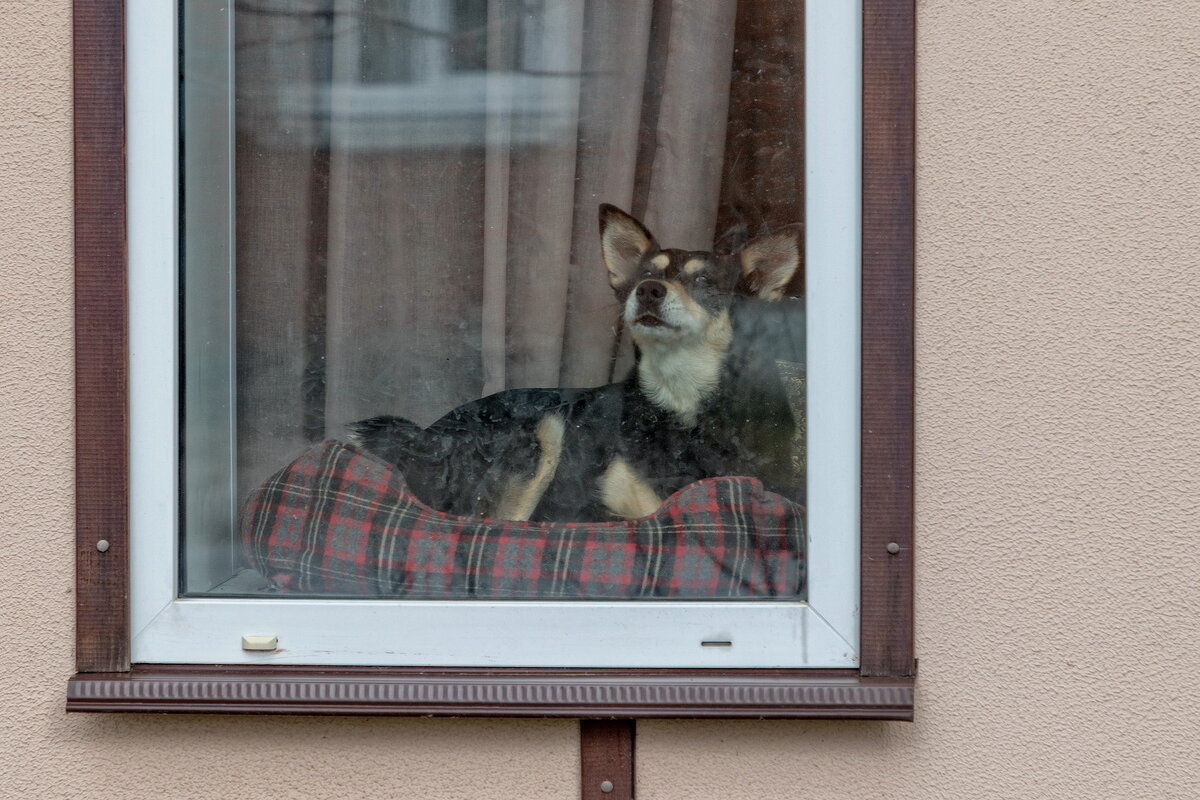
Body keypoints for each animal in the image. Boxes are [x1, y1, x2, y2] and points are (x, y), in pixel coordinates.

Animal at [348, 203, 801, 522]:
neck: (679, 398)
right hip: (542, 431)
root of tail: (423, 436)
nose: (648, 290)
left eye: (705, 281)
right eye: (643, 275)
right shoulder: (577, 506)